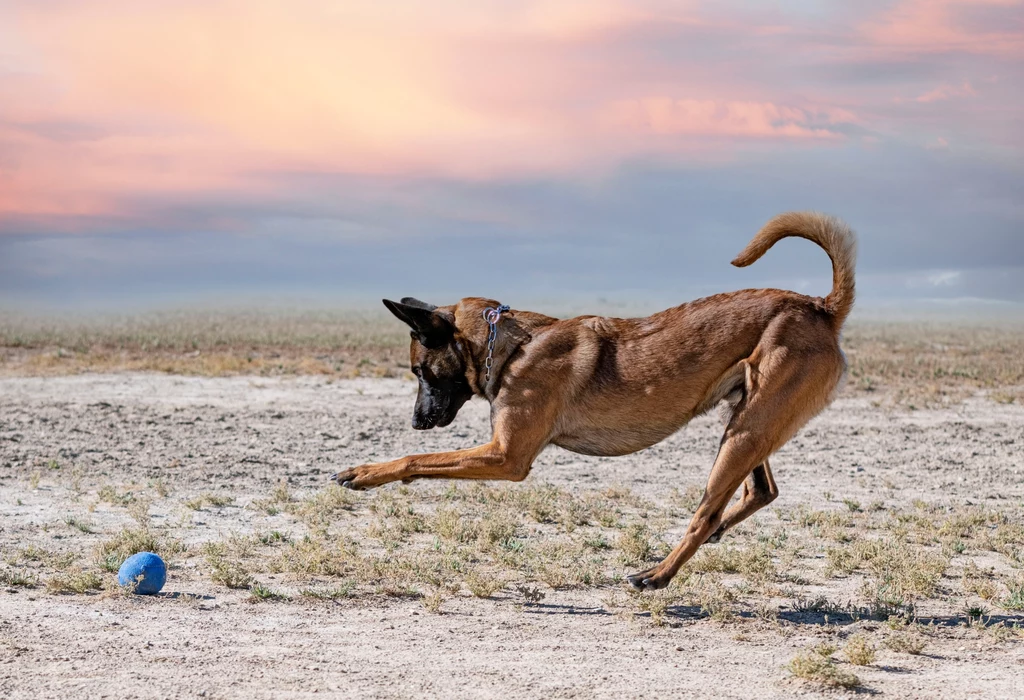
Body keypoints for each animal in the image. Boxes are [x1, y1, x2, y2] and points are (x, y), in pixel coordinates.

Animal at [333, 211, 856, 589]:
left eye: (421, 372)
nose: (417, 421)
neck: (510, 345)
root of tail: (820, 307)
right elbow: (423, 458)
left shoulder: (506, 456)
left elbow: (418, 459)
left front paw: (365, 472)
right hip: (749, 419)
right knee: (759, 491)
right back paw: (714, 536)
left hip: (745, 432)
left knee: (705, 513)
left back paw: (657, 575)